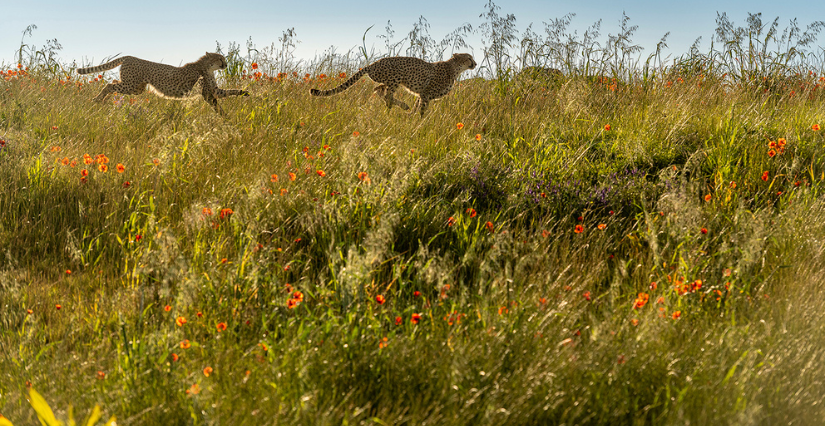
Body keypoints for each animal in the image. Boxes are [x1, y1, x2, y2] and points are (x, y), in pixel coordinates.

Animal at [79, 52, 249, 115]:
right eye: (220, 59)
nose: (226, 64)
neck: (206, 66)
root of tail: (129, 56)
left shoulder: (214, 90)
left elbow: (229, 92)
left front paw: (244, 92)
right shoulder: (206, 92)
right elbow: (216, 102)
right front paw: (224, 115)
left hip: (136, 88)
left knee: (113, 83)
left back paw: (105, 100)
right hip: (131, 86)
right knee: (109, 85)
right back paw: (97, 99)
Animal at [308, 53, 476, 116]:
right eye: (468, 57)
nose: (475, 63)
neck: (454, 68)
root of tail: (373, 63)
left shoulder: (422, 94)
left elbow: (417, 106)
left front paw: (411, 116)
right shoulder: (426, 94)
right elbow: (422, 110)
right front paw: (420, 121)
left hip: (388, 81)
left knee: (378, 90)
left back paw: (400, 107)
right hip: (395, 78)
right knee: (386, 95)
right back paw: (400, 106)